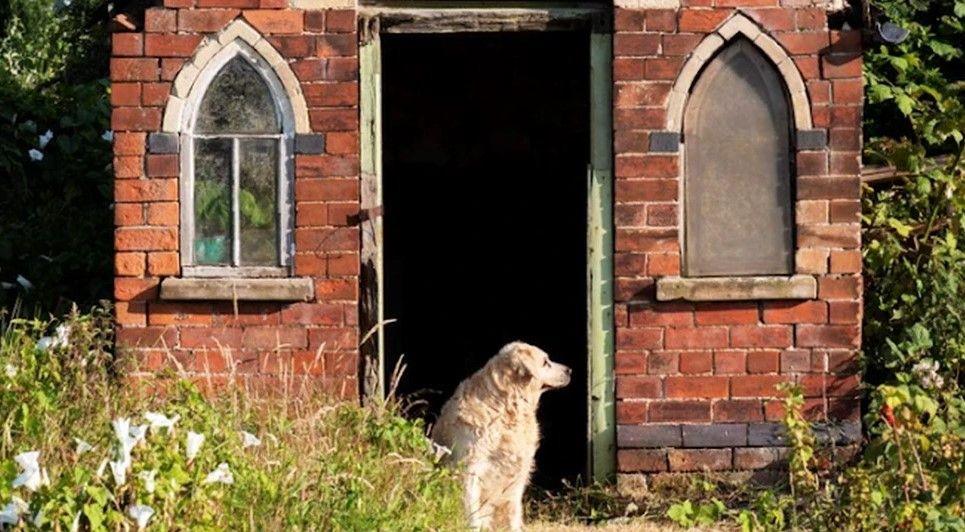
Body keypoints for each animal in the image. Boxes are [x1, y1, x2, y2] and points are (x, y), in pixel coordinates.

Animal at [432, 342, 572, 528]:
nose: (569, 370)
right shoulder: (469, 470)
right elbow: (472, 515)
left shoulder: (517, 475)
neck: (504, 407)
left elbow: (514, 514)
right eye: (545, 362)